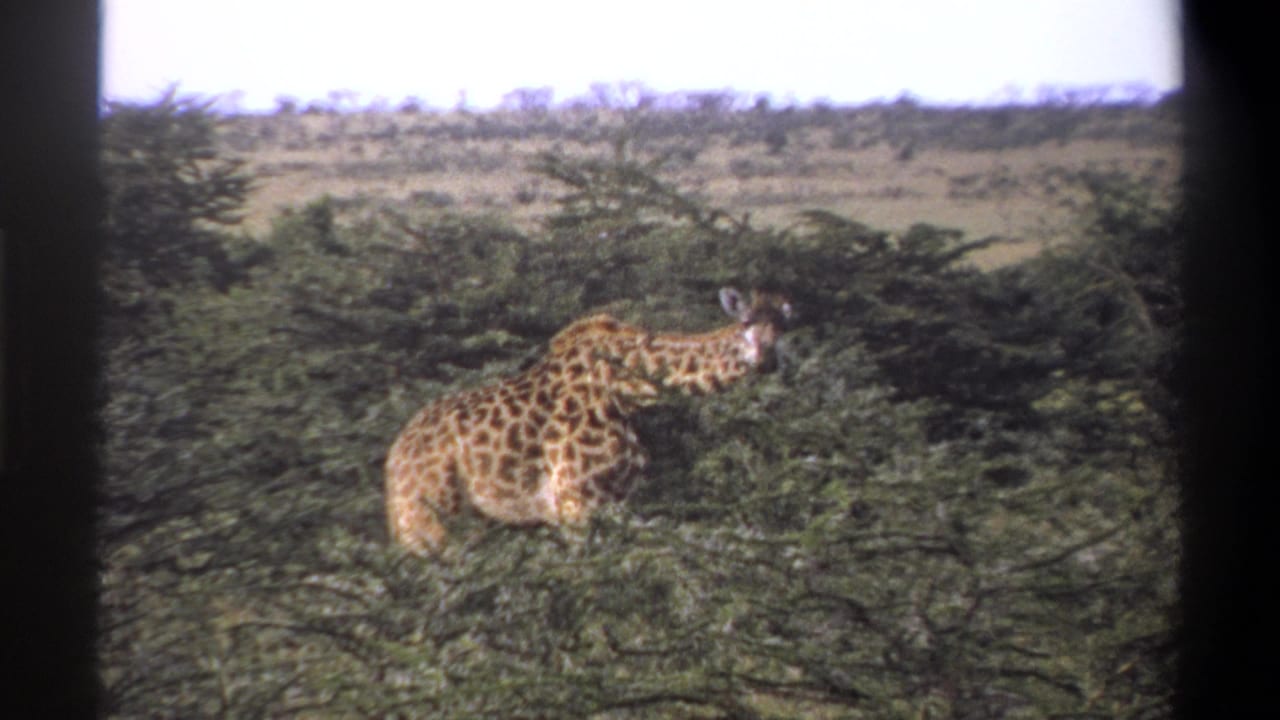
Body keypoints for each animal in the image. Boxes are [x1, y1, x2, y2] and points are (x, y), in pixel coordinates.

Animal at [384, 287, 793, 556]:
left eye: (783, 328)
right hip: (429, 524)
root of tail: (394, 461)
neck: (626, 388)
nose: (767, 362)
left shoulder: (617, 501)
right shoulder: (575, 502)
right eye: (745, 322)